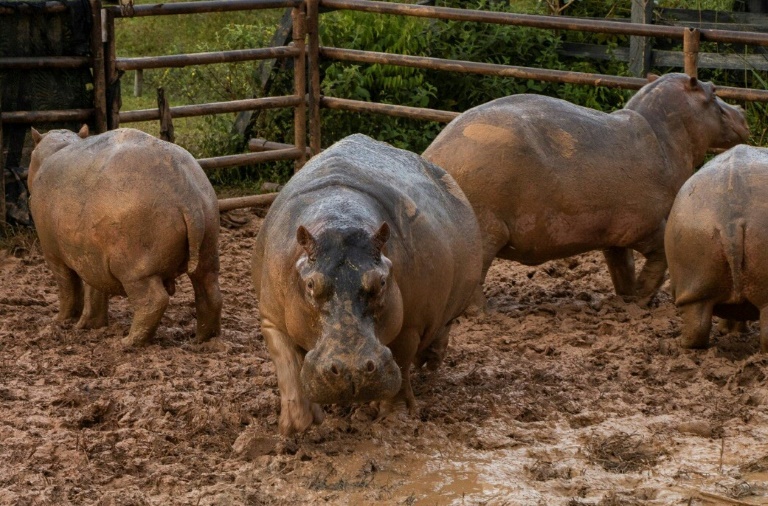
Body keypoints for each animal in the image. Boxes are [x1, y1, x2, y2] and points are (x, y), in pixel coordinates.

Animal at [29, 126, 222, 348]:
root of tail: (186, 194)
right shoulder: (91, 257)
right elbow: (94, 291)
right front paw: (89, 325)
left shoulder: (54, 255)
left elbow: (68, 288)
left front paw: (60, 321)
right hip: (208, 247)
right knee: (210, 292)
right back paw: (202, 340)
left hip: (135, 269)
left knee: (154, 300)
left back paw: (126, 342)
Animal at [252, 133, 480, 434]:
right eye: (311, 285)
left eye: (381, 281)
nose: (352, 370)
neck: (339, 218)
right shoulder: (272, 318)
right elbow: (287, 365)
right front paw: (298, 424)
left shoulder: (410, 324)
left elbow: (401, 362)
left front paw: (396, 418)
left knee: (441, 328)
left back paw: (428, 363)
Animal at [424, 72, 748, 306]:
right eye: (713, 90)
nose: (742, 109)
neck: (665, 135)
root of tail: (432, 156)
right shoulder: (648, 225)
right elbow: (660, 258)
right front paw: (642, 300)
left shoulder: (614, 235)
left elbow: (622, 267)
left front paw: (627, 298)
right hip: (485, 230)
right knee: (474, 281)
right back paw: (486, 311)